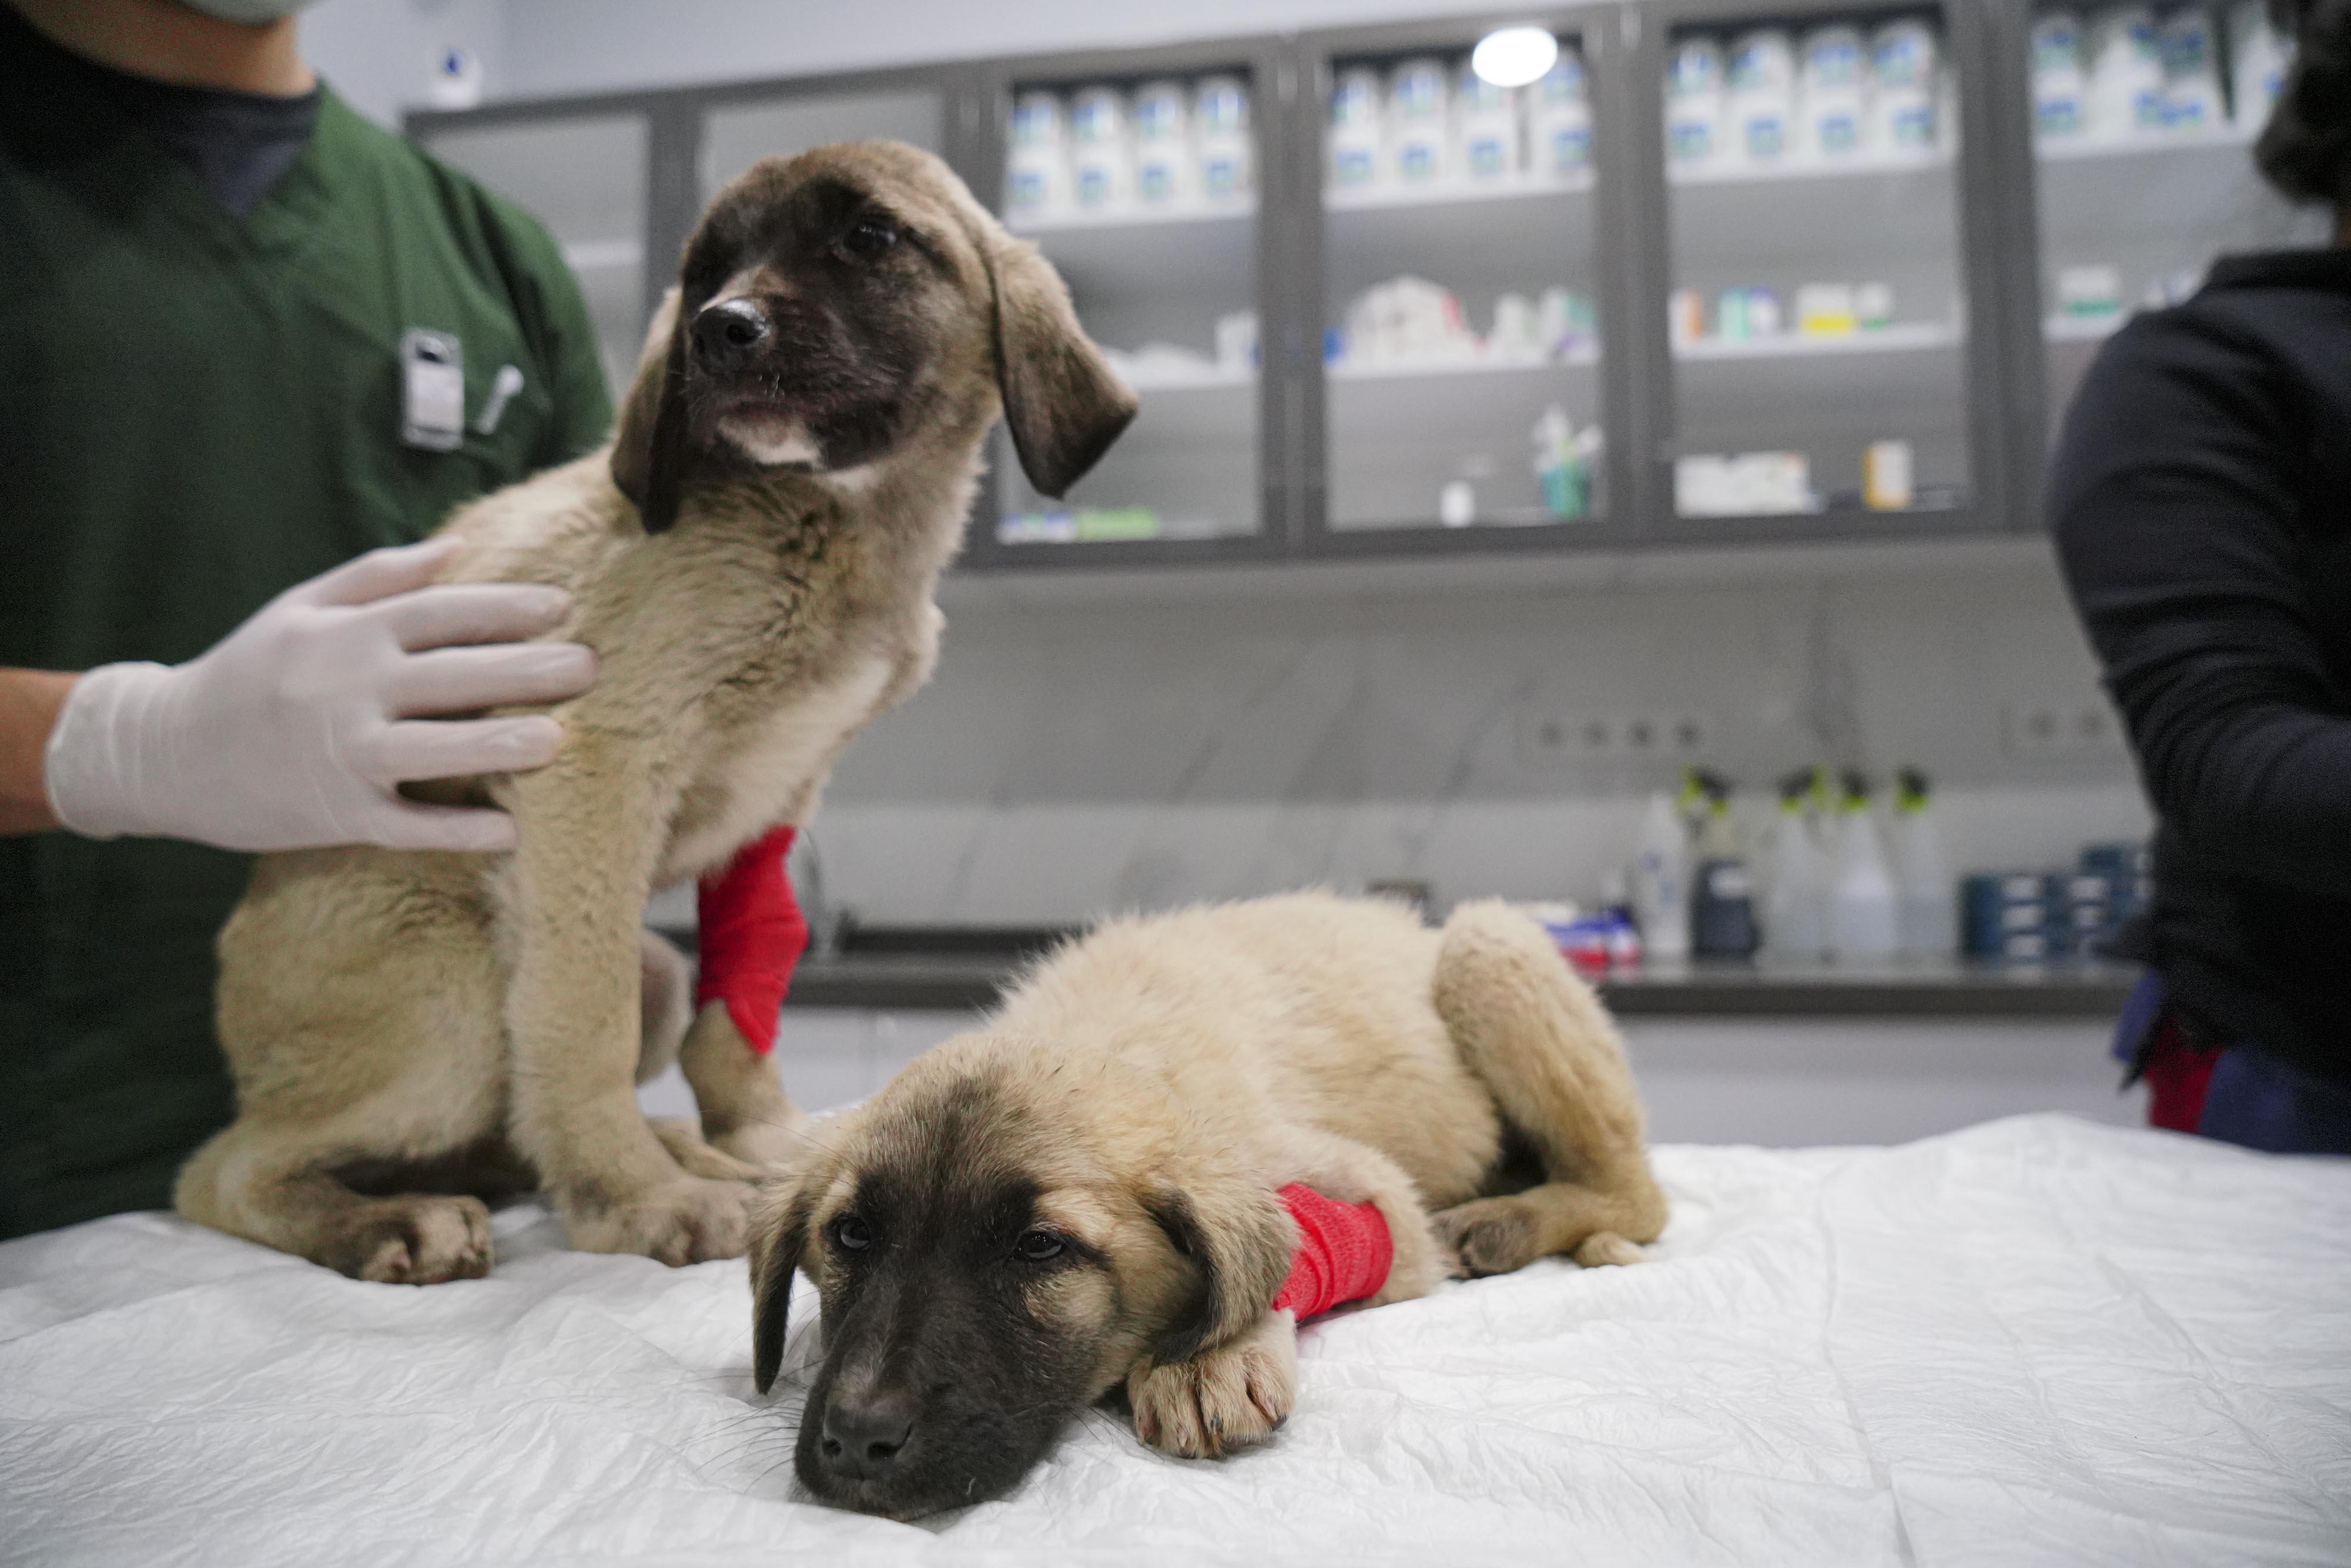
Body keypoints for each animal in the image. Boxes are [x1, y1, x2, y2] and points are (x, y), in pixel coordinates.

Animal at [174, 138, 1138, 1288]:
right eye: (704, 268)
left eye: (870, 236)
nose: (719, 329)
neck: (829, 523)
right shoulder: (592, 765)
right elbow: (576, 1025)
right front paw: (635, 1199)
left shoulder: (780, 796)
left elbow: (743, 999)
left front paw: (755, 1140)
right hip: (457, 993)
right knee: (226, 1168)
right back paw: (396, 1220)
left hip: (654, 968)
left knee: (502, 1124)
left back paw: (666, 1145)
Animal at [752, 893, 1674, 1523]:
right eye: (851, 1235)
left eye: (1040, 1248)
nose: (859, 1438)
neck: (1100, 1042)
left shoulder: (1381, 1201)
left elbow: (1288, 1248)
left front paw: (1206, 1358)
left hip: (1488, 945)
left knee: (1641, 1194)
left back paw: (1505, 1223)